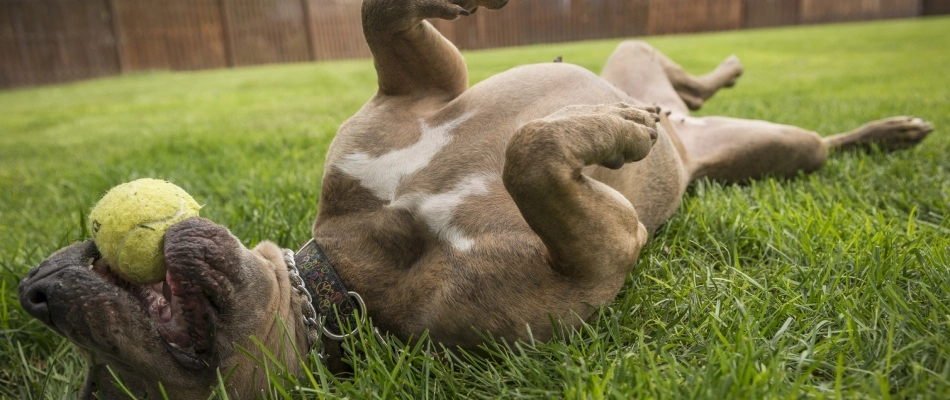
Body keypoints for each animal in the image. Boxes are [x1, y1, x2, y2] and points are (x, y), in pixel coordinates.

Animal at [18, 0, 932, 396]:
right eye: (105, 389)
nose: (35, 290)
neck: (345, 272)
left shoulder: (417, 90)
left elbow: (383, 18)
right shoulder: (600, 251)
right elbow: (531, 155)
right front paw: (615, 137)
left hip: (659, 71)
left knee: (690, 83)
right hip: (772, 156)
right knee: (806, 144)